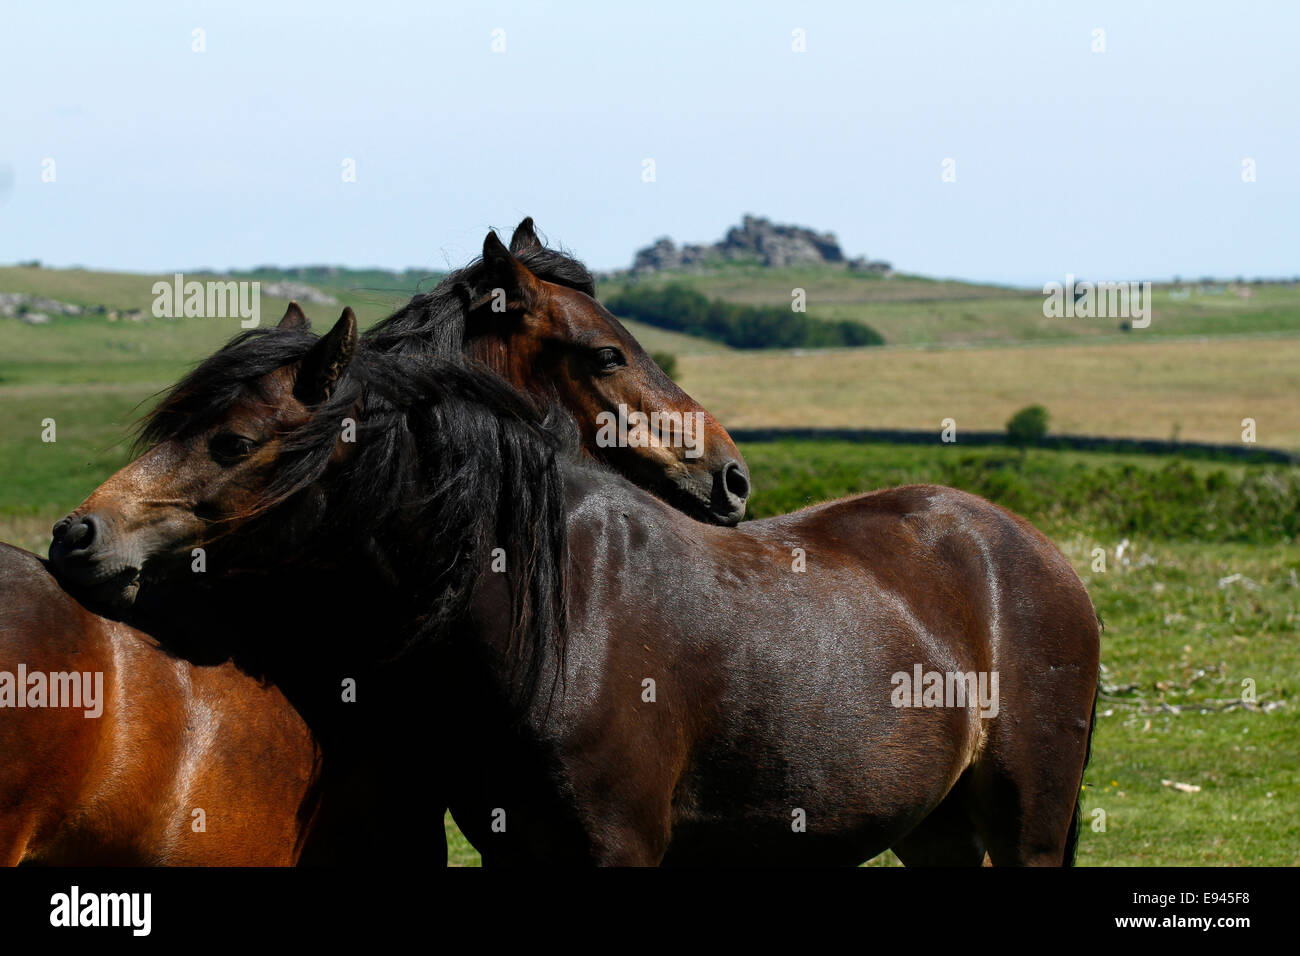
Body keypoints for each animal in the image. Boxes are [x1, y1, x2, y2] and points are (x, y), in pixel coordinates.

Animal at [50, 310, 1102, 863]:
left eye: (231, 443)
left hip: (1026, 821)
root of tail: (1033, 553)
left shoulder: (617, 847)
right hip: (937, 827)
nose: (75, 536)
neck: (550, 619)